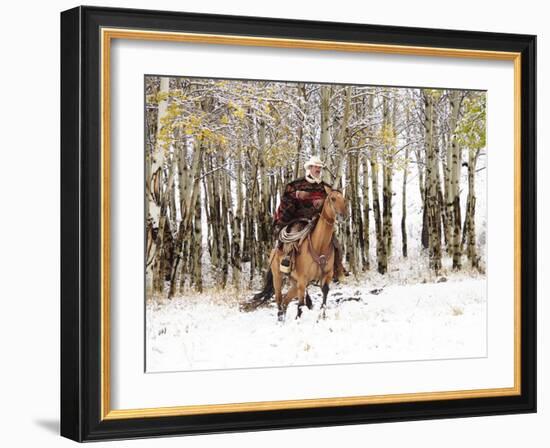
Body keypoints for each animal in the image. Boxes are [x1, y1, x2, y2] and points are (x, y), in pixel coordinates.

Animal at [270, 186, 348, 322]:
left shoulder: (326, 276)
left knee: (285, 301)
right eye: (333, 198)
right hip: (278, 277)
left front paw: (322, 316)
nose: (343, 216)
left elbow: (325, 295)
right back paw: (280, 319)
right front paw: (298, 320)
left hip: (294, 282)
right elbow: (301, 305)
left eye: (343, 199)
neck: (319, 245)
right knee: (279, 299)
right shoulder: (302, 280)